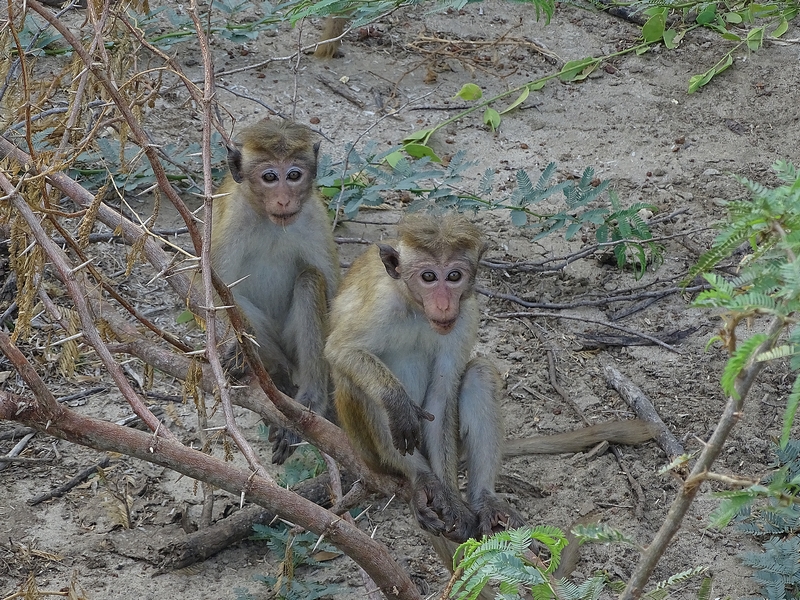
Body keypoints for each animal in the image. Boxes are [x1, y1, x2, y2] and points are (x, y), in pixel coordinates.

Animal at [210, 119, 340, 464]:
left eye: (294, 175)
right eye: (270, 177)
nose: (284, 199)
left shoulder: (313, 217)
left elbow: (333, 295)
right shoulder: (234, 219)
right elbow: (216, 291)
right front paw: (237, 354)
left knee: (310, 282)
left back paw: (307, 405)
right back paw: (272, 373)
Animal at [324, 212, 654, 544]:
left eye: (454, 276)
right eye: (428, 277)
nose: (444, 304)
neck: (415, 307)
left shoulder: (466, 313)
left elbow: (443, 394)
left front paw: (451, 498)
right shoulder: (381, 304)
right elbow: (340, 351)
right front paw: (398, 405)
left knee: (478, 374)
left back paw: (483, 498)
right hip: (367, 453)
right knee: (359, 386)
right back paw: (421, 476)